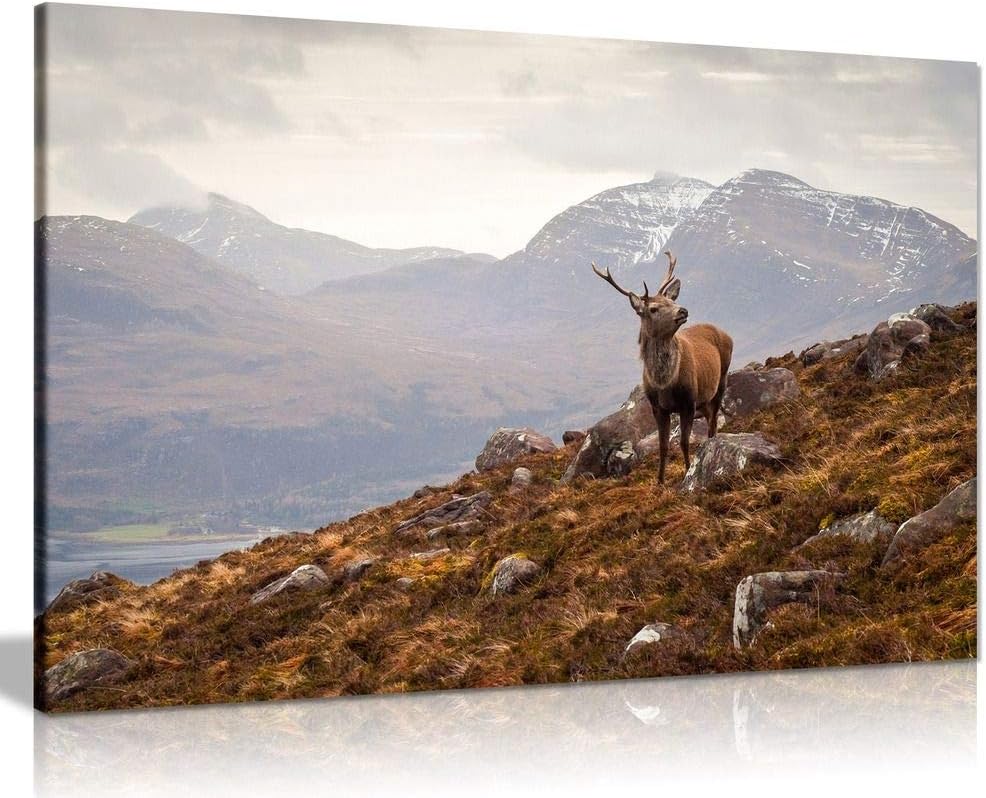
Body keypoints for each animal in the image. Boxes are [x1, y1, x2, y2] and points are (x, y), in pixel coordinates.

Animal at [592, 251, 733, 483]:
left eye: (670, 300)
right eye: (653, 308)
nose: (683, 310)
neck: (665, 383)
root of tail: (725, 333)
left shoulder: (688, 401)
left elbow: (683, 442)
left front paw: (688, 470)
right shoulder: (658, 407)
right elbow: (663, 445)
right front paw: (659, 481)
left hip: (722, 379)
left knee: (713, 422)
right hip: (703, 398)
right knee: (710, 417)